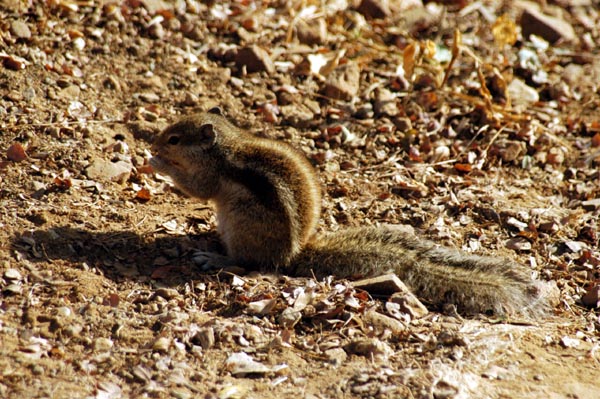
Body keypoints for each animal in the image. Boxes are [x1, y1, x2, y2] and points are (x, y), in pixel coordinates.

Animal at [149, 108, 552, 318]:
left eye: (174, 139)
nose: (154, 144)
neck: (225, 148)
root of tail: (294, 254)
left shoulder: (210, 176)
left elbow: (195, 189)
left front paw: (157, 164)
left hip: (240, 223)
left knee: (250, 265)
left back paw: (214, 256)